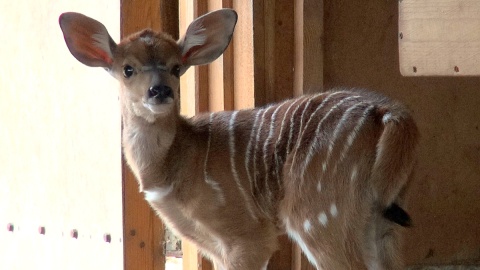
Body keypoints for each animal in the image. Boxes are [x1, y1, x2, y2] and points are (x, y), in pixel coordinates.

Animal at [60, 8, 418, 270]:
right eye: (128, 69)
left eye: (176, 67)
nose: (159, 91)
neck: (175, 164)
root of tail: (389, 114)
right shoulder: (216, 247)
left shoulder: (247, 235)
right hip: (381, 223)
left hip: (318, 212)